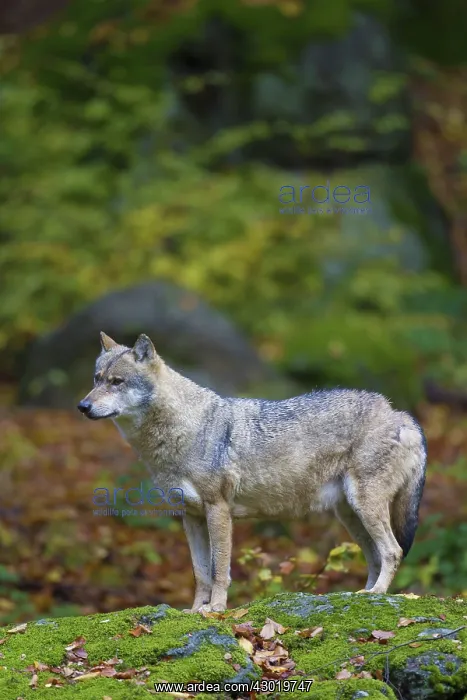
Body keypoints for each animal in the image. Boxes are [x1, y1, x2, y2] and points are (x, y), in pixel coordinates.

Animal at [78, 332, 427, 612]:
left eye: (116, 382)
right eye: (96, 379)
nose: (82, 406)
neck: (182, 433)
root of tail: (401, 414)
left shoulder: (218, 510)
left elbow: (219, 570)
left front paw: (216, 609)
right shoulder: (190, 517)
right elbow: (200, 573)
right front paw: (194, 611)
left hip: (364, 507)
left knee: (393, 551)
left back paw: (377, 594)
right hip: (351, 516)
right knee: (376, 556)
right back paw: (362, 595)